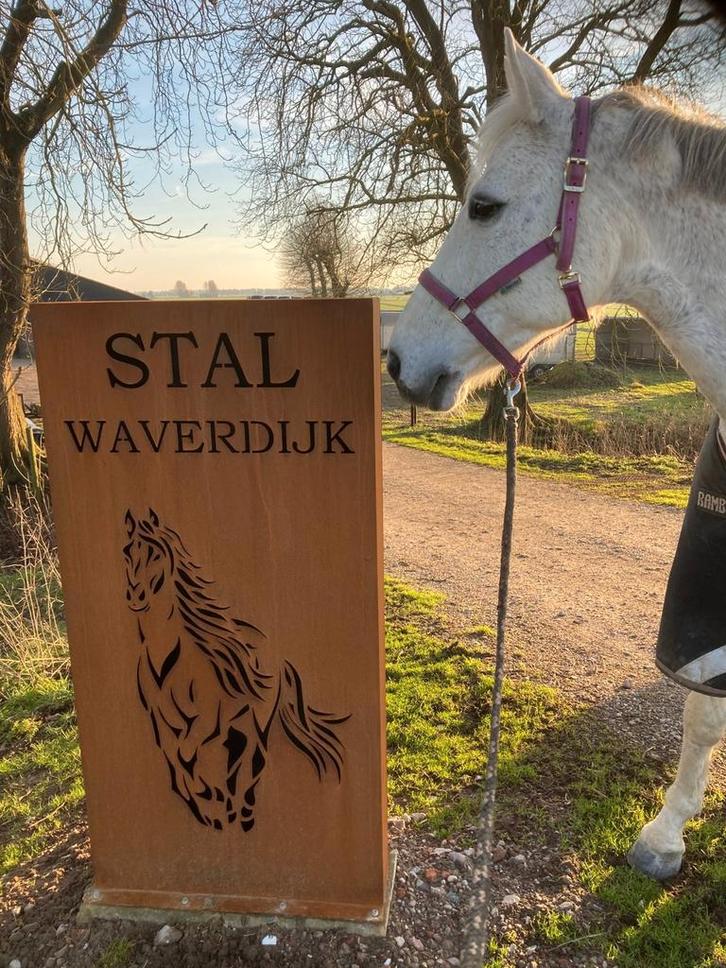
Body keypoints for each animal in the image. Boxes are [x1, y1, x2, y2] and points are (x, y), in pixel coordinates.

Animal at [122, 508, 349, 831]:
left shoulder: (208, 719)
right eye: (127, 552)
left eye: (156, 554)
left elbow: (189, 752)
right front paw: (205, 802)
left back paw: (242, 810)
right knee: (238, 754)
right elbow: (177, 761)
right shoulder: (159, 719)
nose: (136, 596)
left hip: (258, 716)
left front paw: (210, 795)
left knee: (255, 757)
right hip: (241, 720)